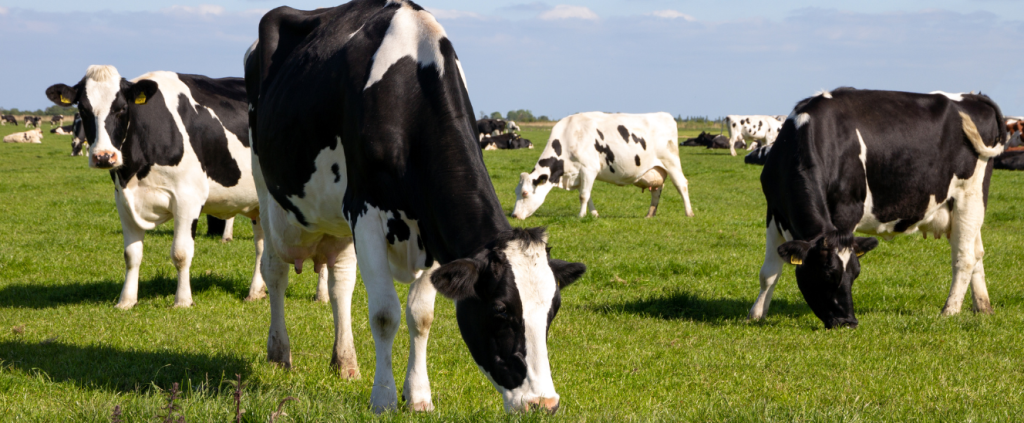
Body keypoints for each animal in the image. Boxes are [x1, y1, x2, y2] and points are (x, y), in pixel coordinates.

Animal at [45, 65, 270, 309]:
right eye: (83, 109)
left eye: (122, 108)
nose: (104, 156)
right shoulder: (123, 201)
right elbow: (131, 254)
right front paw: (126, 301)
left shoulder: (188, 198)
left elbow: (181, 253)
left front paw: (182, 301)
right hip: (259, 204)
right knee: (262, 245)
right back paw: (255, 292)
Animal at [245, 0, 585, 414]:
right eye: (501, 310)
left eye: (553, 310)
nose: (544, 403)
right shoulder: (365, 213)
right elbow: (384, 314)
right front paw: (384, 398)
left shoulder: (433, 226)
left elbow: (421, 316)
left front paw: (419, 395)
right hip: (267, 191)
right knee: (275, 270)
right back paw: (279, 352)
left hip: (337, 221)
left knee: (340, 282)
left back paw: (345, 361)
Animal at [512, 112, 695, 219]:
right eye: (516, 192)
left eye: (525, 193)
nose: (514, 215)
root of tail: (665, 115)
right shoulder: (579, 174)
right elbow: (587, 195)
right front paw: (593, 214)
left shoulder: (589, 168)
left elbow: (583, 195)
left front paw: (581, 216)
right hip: (657, 169)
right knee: (656, 191)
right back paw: (649, 214)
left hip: (671, 162)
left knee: (682, 184)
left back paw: (689, 213)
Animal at [749, 88, 1006, 330]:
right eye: (827, 273)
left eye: (855, 274)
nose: (848, 322)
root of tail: (973, 96)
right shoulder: (773, 212)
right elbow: (769, 272)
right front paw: (757, 314)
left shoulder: (846, 212)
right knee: (977, 252)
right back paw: (983, 307)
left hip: (970, 196)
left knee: (964, 257)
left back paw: (950, 310)